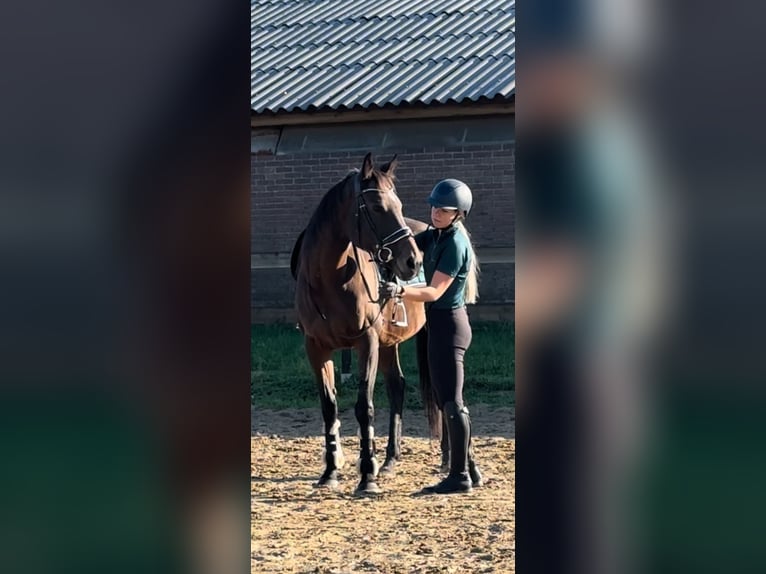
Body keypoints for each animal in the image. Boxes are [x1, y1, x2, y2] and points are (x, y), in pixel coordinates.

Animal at [290, 152, 444, 496]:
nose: (412, 260)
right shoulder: (315, 347)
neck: (329, 279)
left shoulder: (367, 342)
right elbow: (329, 406)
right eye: (376, 207)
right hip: (390, 342)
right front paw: (330, 472)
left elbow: (365, 407)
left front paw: (367, 475)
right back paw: (390, 460)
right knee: (397, 385)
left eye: (398, 204)